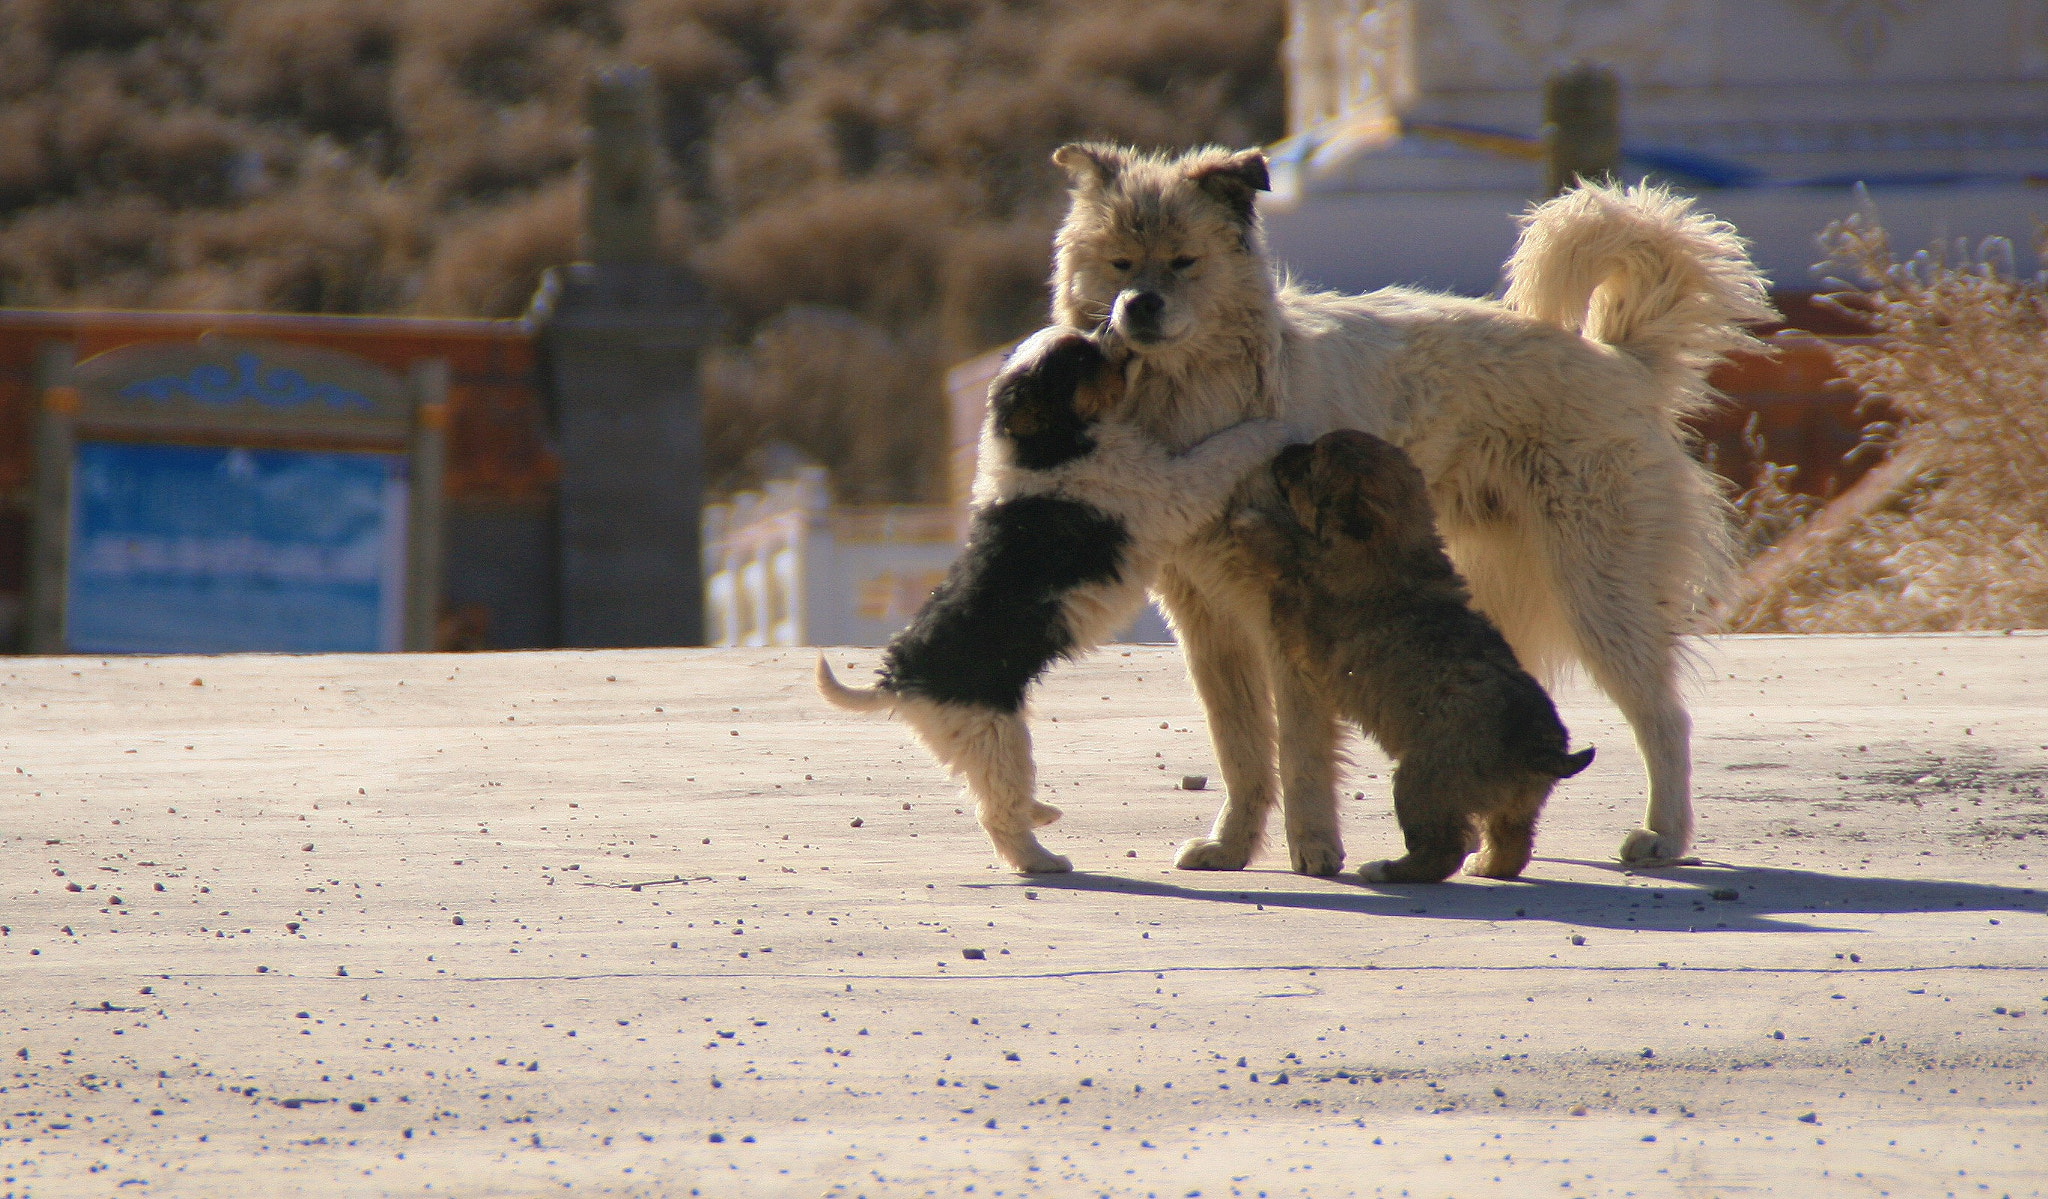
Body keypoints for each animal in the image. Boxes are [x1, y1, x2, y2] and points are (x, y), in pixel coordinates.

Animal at [819, 327, 1286, 869]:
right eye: (1078, 363)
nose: (1110, 330)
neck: (1049, 448)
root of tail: (899, 678)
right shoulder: (1168, 488)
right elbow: (1222, 449)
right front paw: (1272, 428)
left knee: (997, 799)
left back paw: (1041, 814)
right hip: (992, 733)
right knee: (997, 812)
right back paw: (1043, 859)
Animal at [1228, 430, 1597, 877]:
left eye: (1310, 463)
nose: (1285, 449)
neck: (1391, 542)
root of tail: (1538, 748)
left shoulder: (1309, 598)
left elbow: (1291, 551)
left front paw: (1252, 524)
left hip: (1421, 782)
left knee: (1440, 850)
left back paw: (1390, 870)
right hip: (1516, 801)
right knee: (1512, 841)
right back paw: (1488, 865)